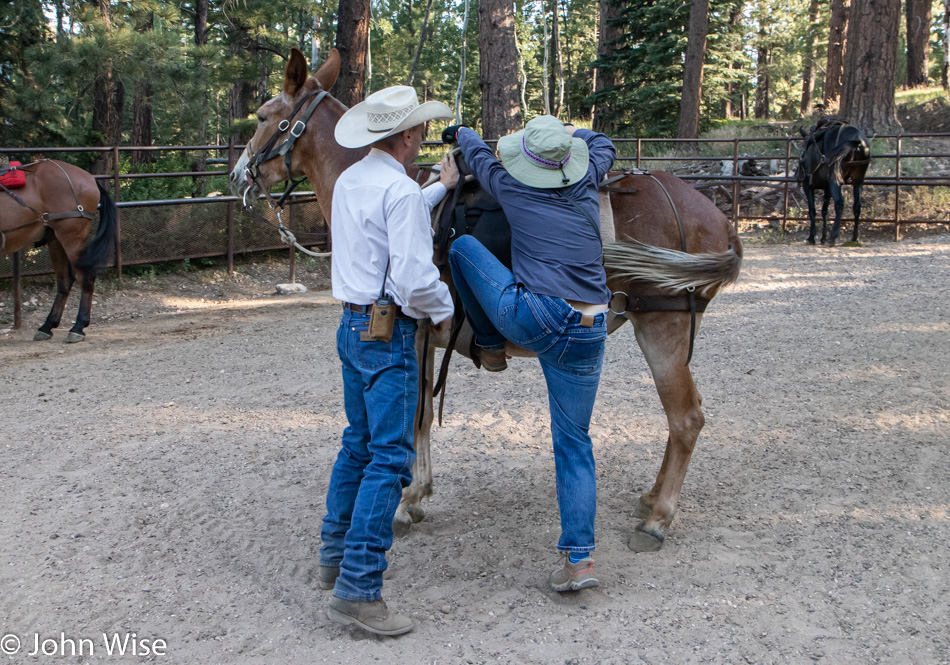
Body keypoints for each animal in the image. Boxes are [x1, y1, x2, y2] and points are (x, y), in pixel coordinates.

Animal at [0, 158, 117, 340]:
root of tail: (89, 178)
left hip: (71, 238)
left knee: (86, 277)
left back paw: (78, 327)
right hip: (55, 240)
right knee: (64, 281)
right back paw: (48, 325)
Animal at [229, 49, 744, 552]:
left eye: (262, 117)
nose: (238, 175)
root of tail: (717, 219)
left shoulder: (415, 335)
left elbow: (416, 417)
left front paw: (405, 502)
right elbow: (419, 418)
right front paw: (417, 492)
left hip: (662, 329)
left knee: (686, 418)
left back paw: (658, 519)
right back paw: (652, 497)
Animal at [800, 116, 872, 246]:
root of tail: (857, 141)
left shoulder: (808, 186)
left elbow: (812, 210)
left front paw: (812, 237)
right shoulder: (827, 188)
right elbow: (824, 210)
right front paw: (822, 237)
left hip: (835, 182)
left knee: (839, 202)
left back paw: (833, 237)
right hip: (858, 180)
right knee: (857, 206)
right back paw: (854, 237)